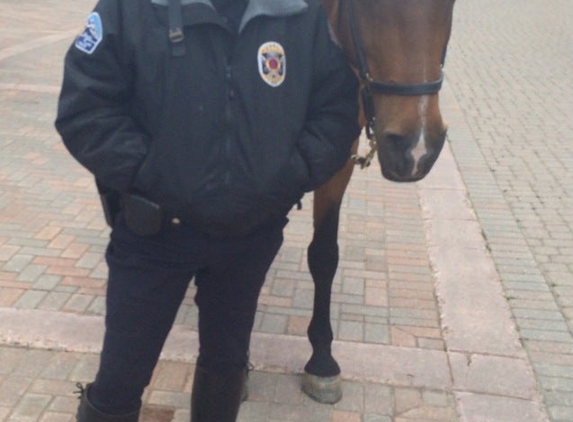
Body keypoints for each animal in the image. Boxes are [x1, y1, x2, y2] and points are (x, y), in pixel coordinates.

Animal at [302, 0, 454, 402]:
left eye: (451, 4)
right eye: (366, 5)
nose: (416, 148)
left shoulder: (338, 154)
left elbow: (324, 255)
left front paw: (321, 358)